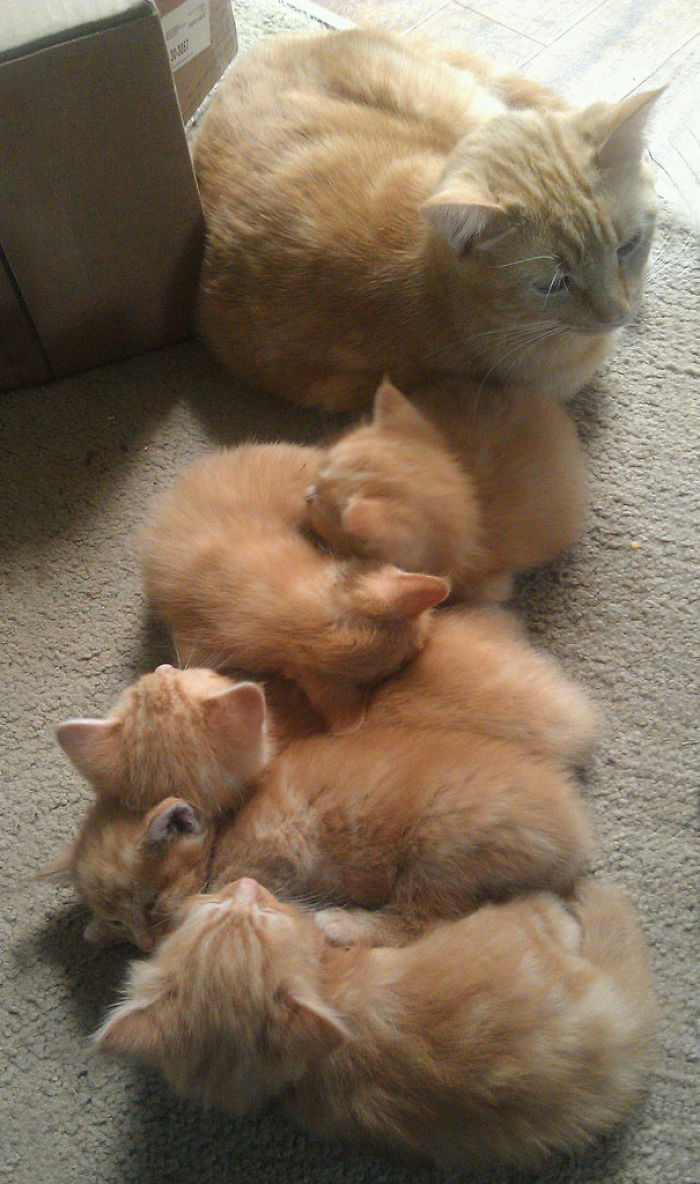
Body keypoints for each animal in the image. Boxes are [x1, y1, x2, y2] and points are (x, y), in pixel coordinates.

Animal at [94, 876, 658, 1169]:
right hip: (528, 933)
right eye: (260, 912)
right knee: (553, 915)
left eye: (215, 904)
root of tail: (620, 1034)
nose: (248, 882)